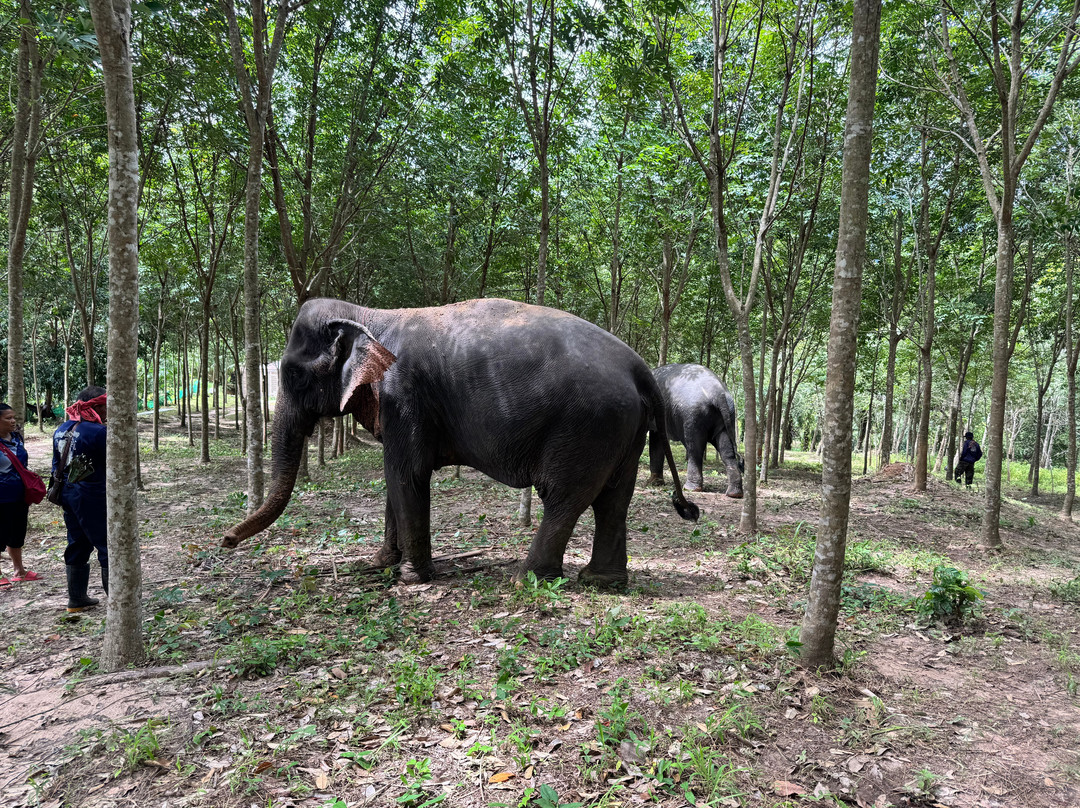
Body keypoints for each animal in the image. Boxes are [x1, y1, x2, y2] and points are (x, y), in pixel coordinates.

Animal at [223, 298, 699, 589]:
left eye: (294, 373)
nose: (227, 541)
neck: (369, 315)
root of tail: (641, 368)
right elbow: (395, 480)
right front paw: (379, 564)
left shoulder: (404, 397)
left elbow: (406, 474)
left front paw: (410, 579)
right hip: (623, 430)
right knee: (613, 501)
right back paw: (601, 582)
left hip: (588, 427)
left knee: (566, 498)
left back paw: (524, 578)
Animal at [647, 363, 744, 498]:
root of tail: (718, 392)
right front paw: (654, 482)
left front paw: (652, 483)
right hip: (728, 415)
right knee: (727, 451)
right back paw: (734, 493)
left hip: (693, 414)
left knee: (694, 449)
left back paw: (690, 488)